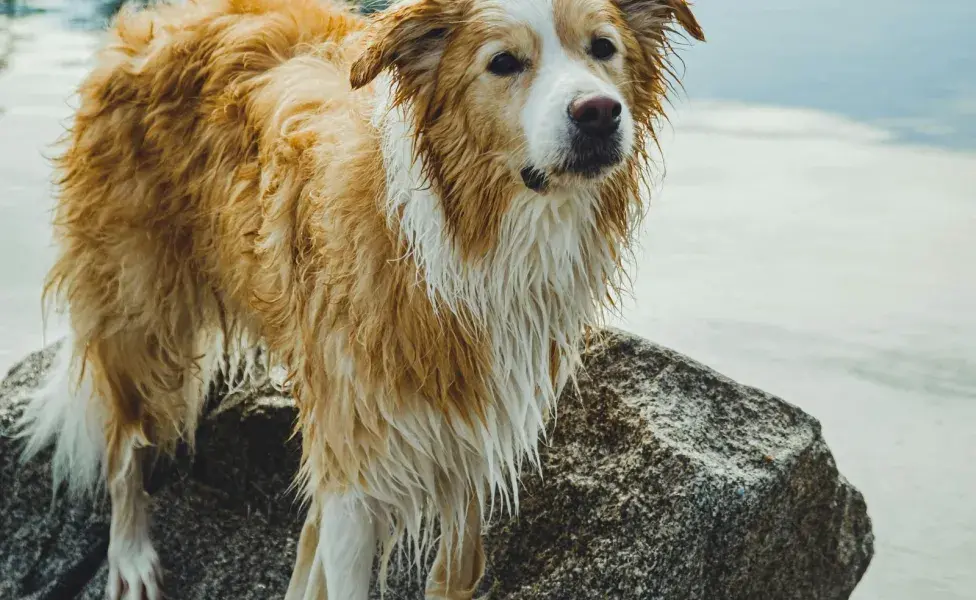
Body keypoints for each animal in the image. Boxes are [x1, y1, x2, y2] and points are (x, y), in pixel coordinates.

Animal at [15, 0, 700, 596]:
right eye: (504, 62)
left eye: (603, 48)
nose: (599, 112)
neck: (469, 232)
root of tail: (149, 22)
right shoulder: (357, 460)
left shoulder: (469, 448)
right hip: (140, 307)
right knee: (124, 441)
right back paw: (130, 555)